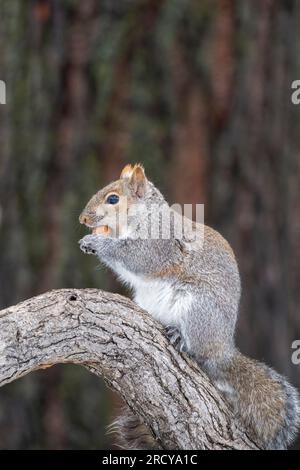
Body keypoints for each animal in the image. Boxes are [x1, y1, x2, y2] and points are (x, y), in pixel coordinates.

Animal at [78, 163, 298, 450]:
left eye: (113, 199)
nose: (83, 219)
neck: (145, 217)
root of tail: (222, 350)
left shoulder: (158, 246)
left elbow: (134, 257)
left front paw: (96, 243)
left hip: (197, 308)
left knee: (197, 351)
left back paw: (179, 336)